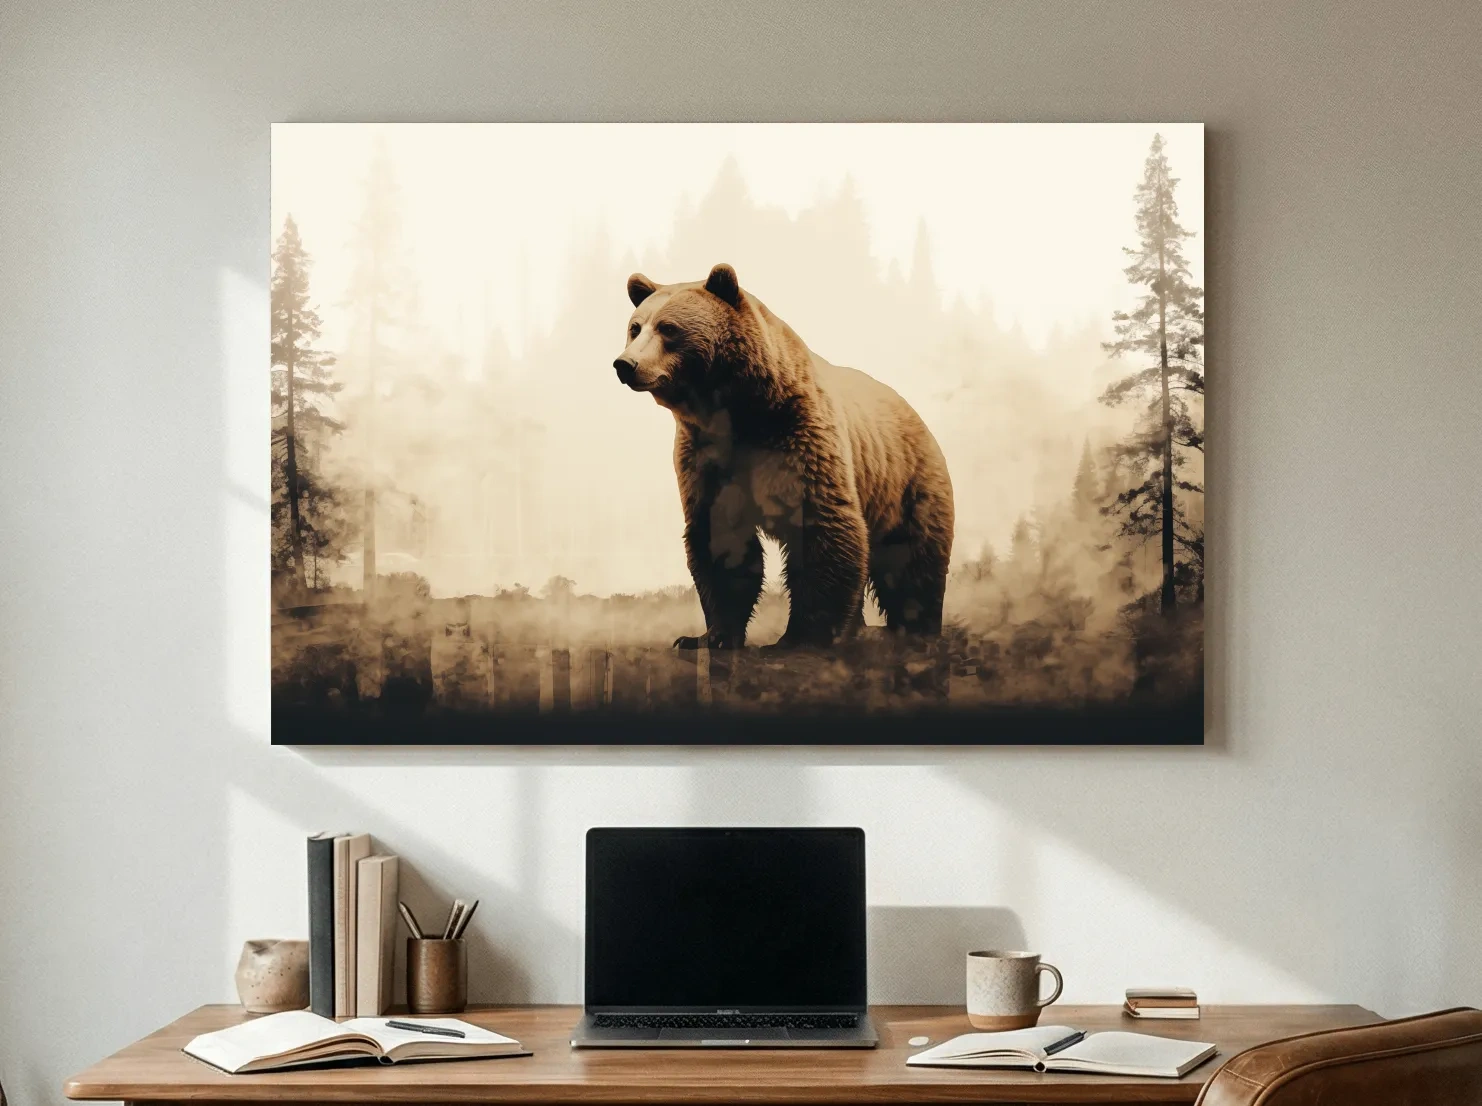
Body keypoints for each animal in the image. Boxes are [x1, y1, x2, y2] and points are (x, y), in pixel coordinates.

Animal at [613, 263, 954, 650]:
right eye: (635, 327)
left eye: (668, 328)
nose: (626, 364)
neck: (739, 410)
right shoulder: (707, 454)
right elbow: (719, 536)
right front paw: (708, 636)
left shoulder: (799, 434)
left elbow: (822, 523)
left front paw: (803, 637)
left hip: (906, 480)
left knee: (912, 560)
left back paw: (916, 630)